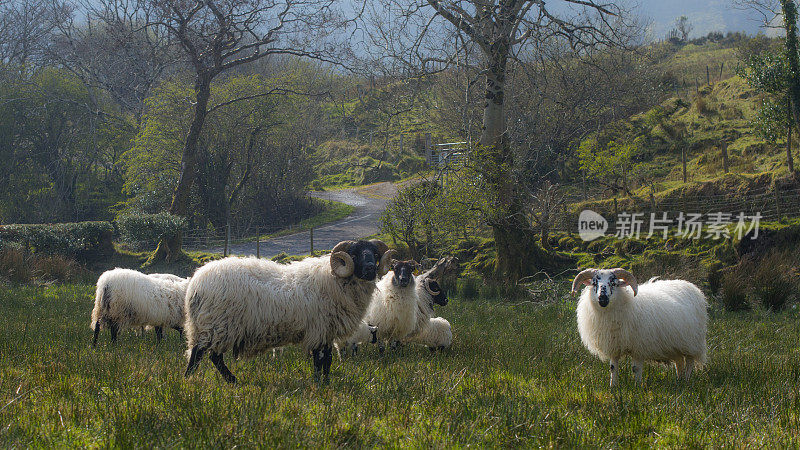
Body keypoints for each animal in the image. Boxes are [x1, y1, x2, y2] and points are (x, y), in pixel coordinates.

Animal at [182, 239, 394, 384]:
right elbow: (320, 360)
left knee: (211, 355)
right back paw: (193, 379)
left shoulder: (327, 331)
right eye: (355, 255)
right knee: (201, 354)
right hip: (218, 323)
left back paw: (228, 380)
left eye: (375, 255)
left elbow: (328, 361)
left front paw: (326, 382)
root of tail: (195, 283)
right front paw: (319, 384)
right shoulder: (319, 329)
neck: (336, 280)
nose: (370, 269)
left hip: (215, 325)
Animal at [572, 268, 708, 386]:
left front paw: (637, 387)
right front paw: (613, 386)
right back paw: (679, 381)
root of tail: (690, 286)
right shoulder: (614, 345)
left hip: (692, 342)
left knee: (689, 362)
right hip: (675, 344)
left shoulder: (639, 346)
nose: (602, 298)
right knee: (679, 362)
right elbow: (613, 368)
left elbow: (636, 368)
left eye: (614, 283)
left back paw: (687, 381)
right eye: (594, 283)